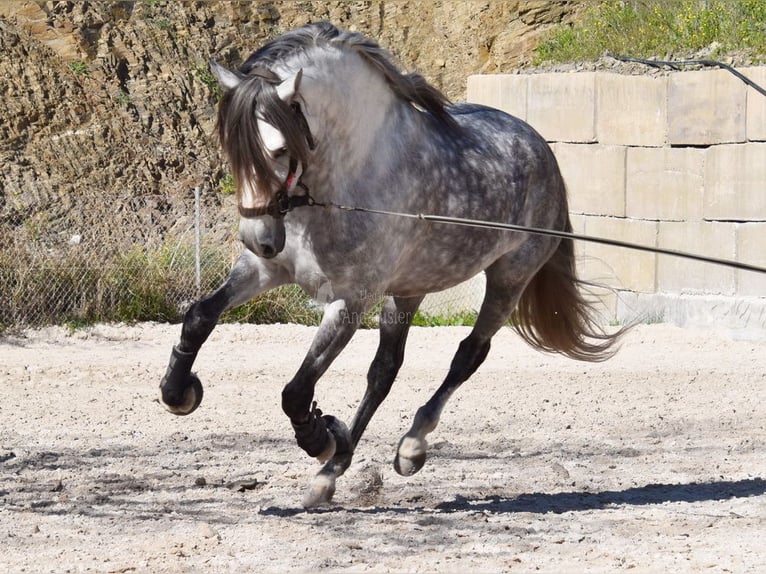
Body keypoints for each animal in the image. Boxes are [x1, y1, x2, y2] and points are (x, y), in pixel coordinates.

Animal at [159, 21, 620, 508]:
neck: (347, 182)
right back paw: (333, 472)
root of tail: (541, 148)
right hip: (409, 290)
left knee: (468, 354)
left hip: (509, 277)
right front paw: (178, 392)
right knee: (384, 373)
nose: (259, 239)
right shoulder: (265, 271)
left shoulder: (349, 301)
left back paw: (407, 447)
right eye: (231, 148)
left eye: (280, 150)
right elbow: (200, 316)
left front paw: (321, 436)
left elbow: (296, 391)